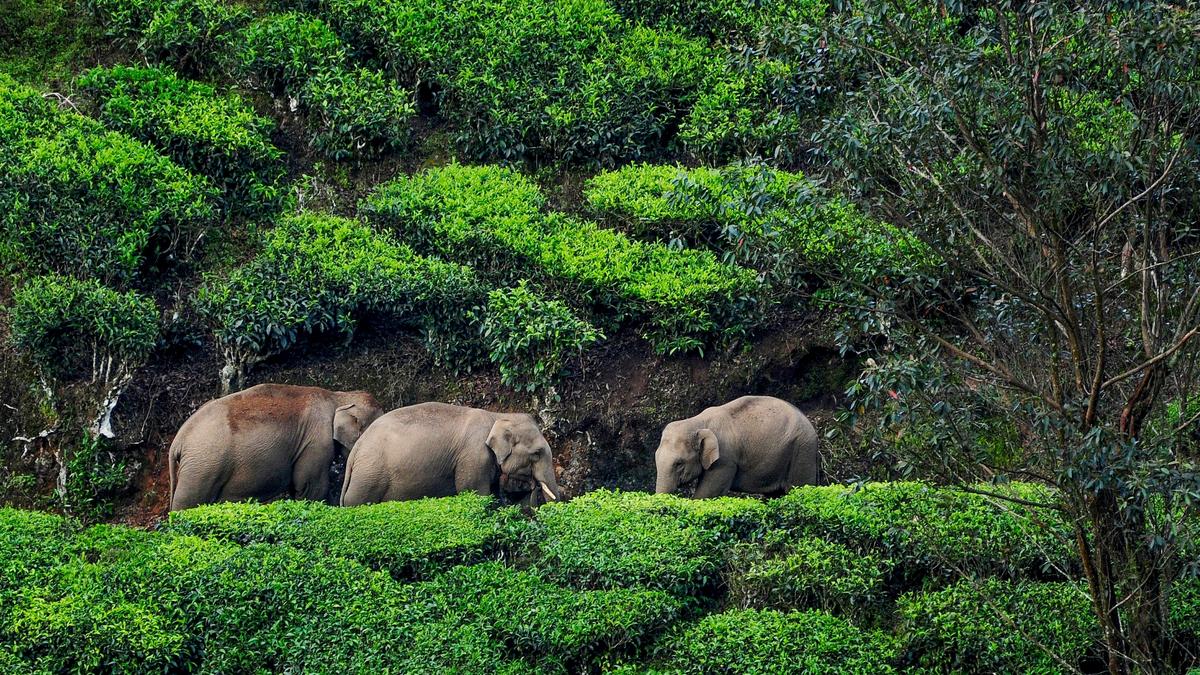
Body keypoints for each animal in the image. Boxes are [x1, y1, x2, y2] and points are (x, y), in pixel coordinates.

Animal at [169, 384, 384, 511]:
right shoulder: (316, 442)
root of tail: (178, 440)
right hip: (202, 466)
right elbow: (310, 487)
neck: (337, 397)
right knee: (187, 503)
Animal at [340, 402, 562, 506]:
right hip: (368, 478)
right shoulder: (474, 456)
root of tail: (356, 451)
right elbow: (475, 493)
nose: (535, 487)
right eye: (537, 453)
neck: (497, 416)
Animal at [654, 395, 818, 498]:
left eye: (679, 463)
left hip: (803, 449)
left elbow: (709, 493)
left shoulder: (725, 459)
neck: (698, 421)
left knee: (800, 487)